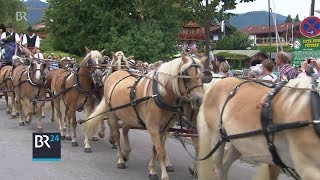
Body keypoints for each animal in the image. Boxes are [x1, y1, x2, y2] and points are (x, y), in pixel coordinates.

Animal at [82, 52, 206, 180]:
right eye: (186, 74)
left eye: (202, 76)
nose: (199, 99)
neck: (159, 94)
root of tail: (115, 73)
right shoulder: (153, 127)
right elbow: (160, 151)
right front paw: (164, 175)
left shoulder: (163, 128)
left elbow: (156, 149)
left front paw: (152, 170)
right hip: (113, 115)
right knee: (116, 134)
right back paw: (120, 159)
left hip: (129, 116)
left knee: (125, 129)